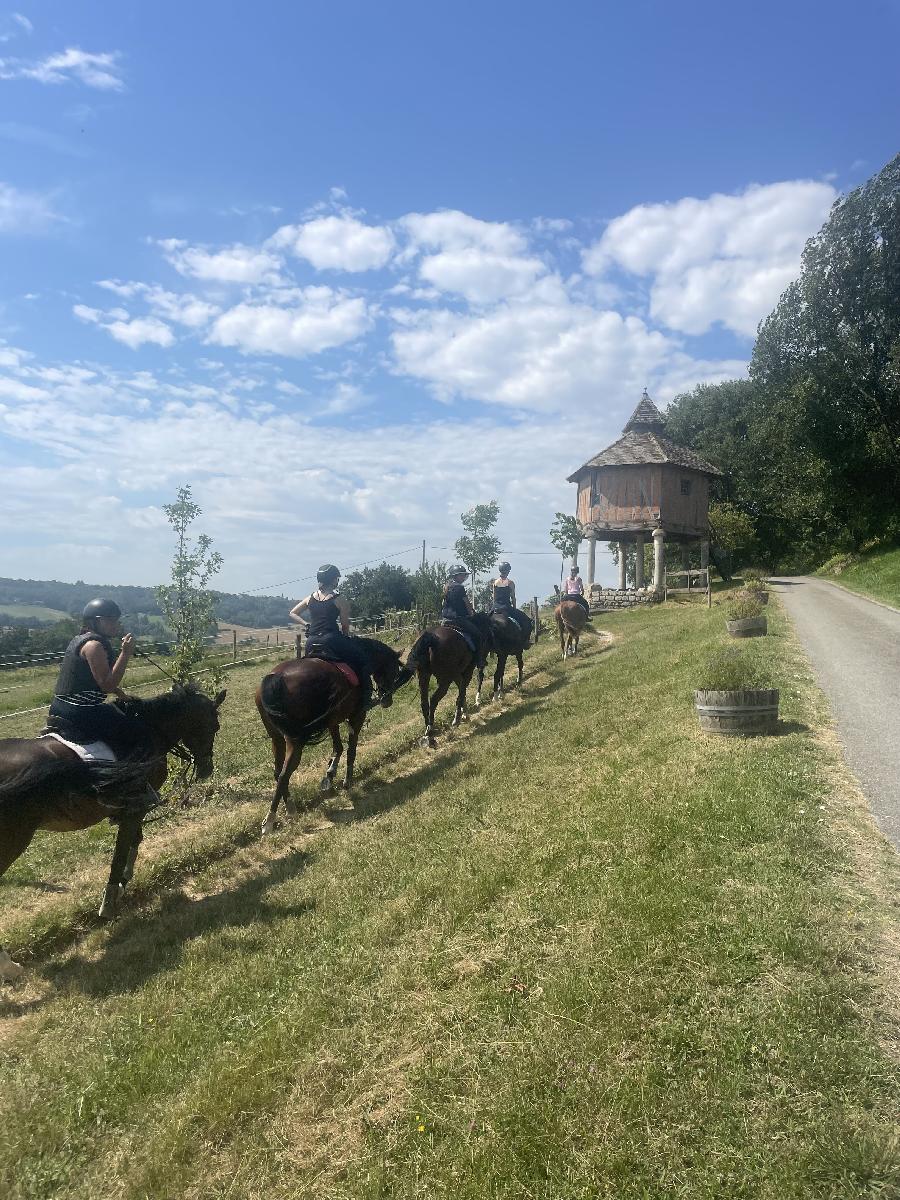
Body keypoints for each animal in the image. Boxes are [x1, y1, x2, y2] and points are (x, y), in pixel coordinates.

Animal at [0, 686, 225, 984]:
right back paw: (9, 966)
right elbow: (122, 849)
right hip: (12, 841)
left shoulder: (133, 809)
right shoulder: (135, 806)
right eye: (214, 726)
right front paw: (110, 900)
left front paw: (123, 885)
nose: (207, 768)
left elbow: (133, 842)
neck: (151, 726)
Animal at [255, 638, 415, 835]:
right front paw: (347, 781)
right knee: (285, 774)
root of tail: (276, 677)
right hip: (294, 740)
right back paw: (270, 820)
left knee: (278, 772)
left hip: (276, 738)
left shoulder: (332, 720)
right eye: (393, 670)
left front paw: (329, 777)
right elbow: (351, 750)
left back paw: (290, 808)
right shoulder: (357, 716)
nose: (387, 700)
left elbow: (338, 747)